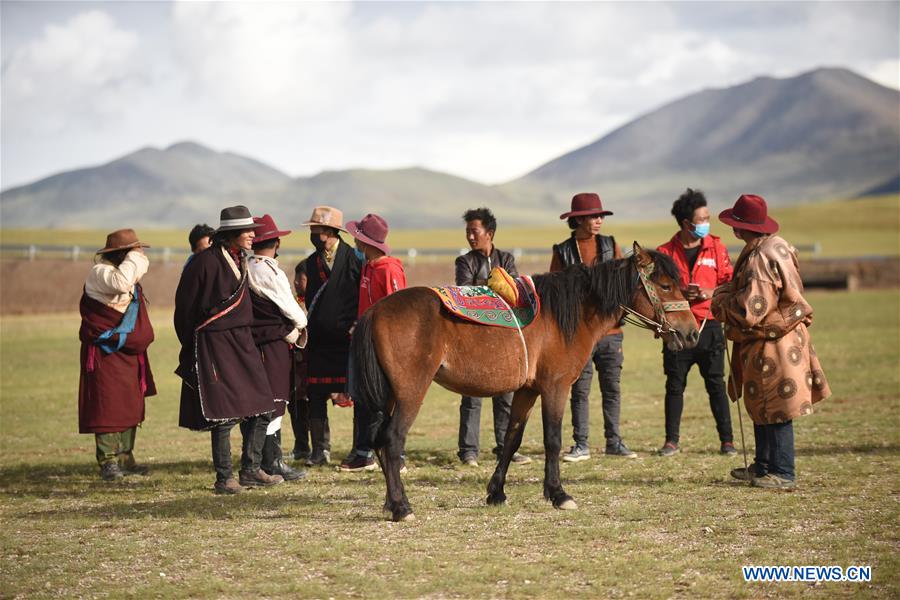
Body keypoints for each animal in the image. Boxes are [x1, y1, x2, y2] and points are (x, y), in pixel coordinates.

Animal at [350, 243, 696, 520]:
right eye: (666, 285)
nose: (692, 332)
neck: (567, 315)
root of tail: (375, 311)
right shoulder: (555, 387)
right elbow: (552, 440)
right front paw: (559, 494)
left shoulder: (527, 390)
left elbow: (511, 439)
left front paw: (496, 492)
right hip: (411, 392)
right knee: (393, 438)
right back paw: (401, 507)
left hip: (391, 395)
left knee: (379, 439)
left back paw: (390, 502)